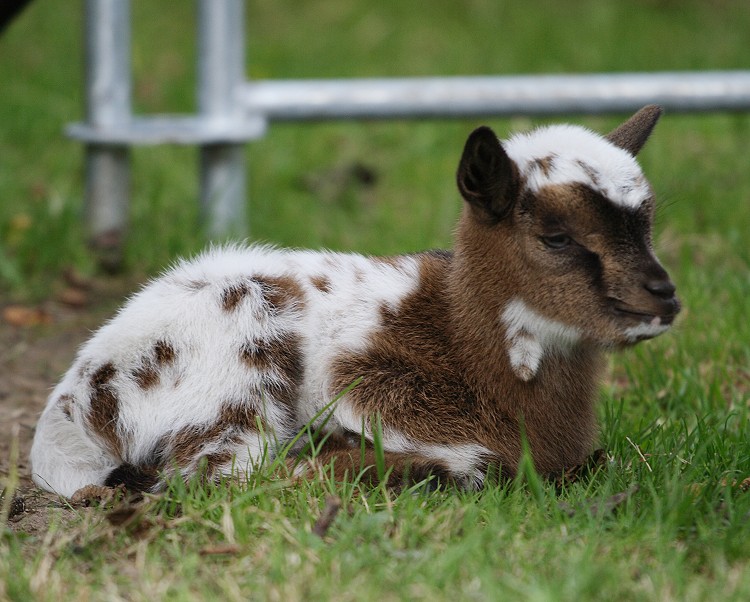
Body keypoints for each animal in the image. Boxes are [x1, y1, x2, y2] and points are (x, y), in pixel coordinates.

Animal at [33, 105, 680, 494]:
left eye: (647, 224)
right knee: (224, 475)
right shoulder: (371, 384)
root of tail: (71, 406)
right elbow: (481, 461)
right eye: (556, 237)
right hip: (239, 362)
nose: (665, 299)